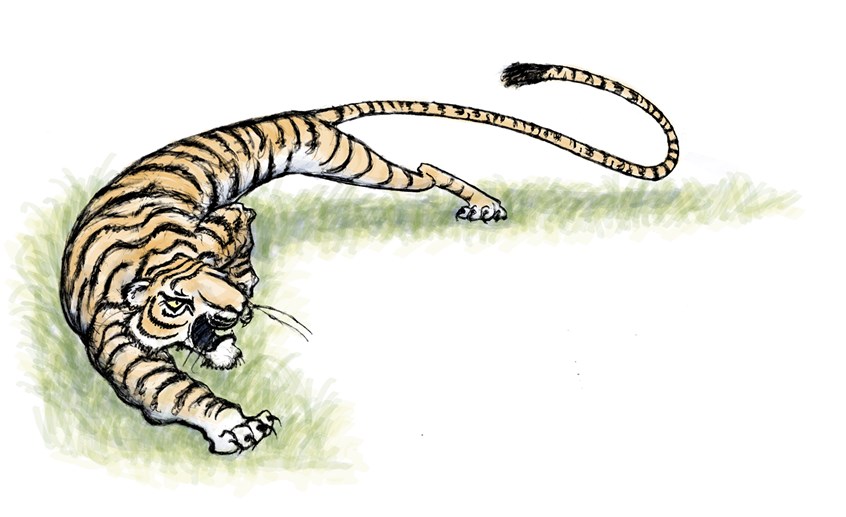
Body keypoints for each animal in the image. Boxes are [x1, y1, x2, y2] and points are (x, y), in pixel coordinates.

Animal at [60, 63, 679, 454]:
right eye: (176, 303)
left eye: (219, 281)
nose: (237, 312)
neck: (159, 257)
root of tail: (300, 113)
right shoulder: (120, 344)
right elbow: (172, 385)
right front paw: (231, 404)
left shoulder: (223, 230)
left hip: (347, 159)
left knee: (427, 167)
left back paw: (482, 202)